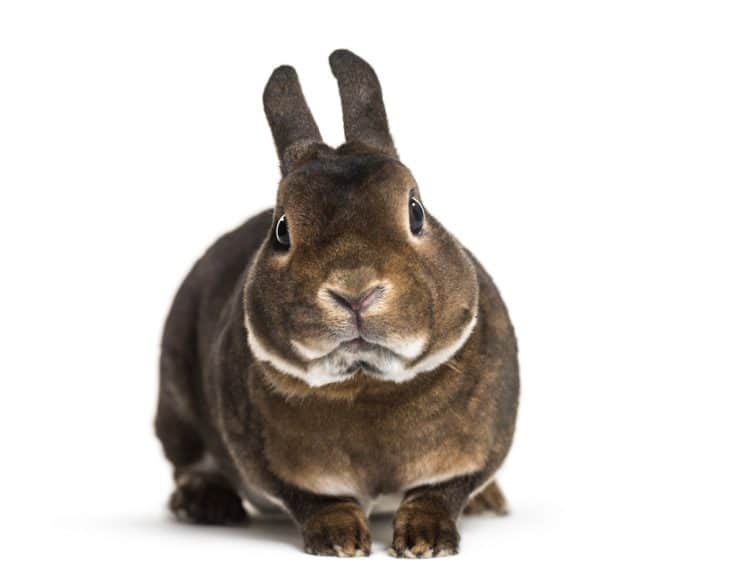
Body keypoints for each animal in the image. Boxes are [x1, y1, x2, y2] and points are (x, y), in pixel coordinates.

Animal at [155, 49, 519, 558]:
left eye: (416, 211)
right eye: (282, 230)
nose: (354, 290)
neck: (367, 384)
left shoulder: (475, 452)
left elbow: (437, 494)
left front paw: (425, 543)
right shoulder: (280, 471)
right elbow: (320, 502)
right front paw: (340, 542)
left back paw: (490, 502)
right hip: (176, 405)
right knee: (188, 463)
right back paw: (205, 506)